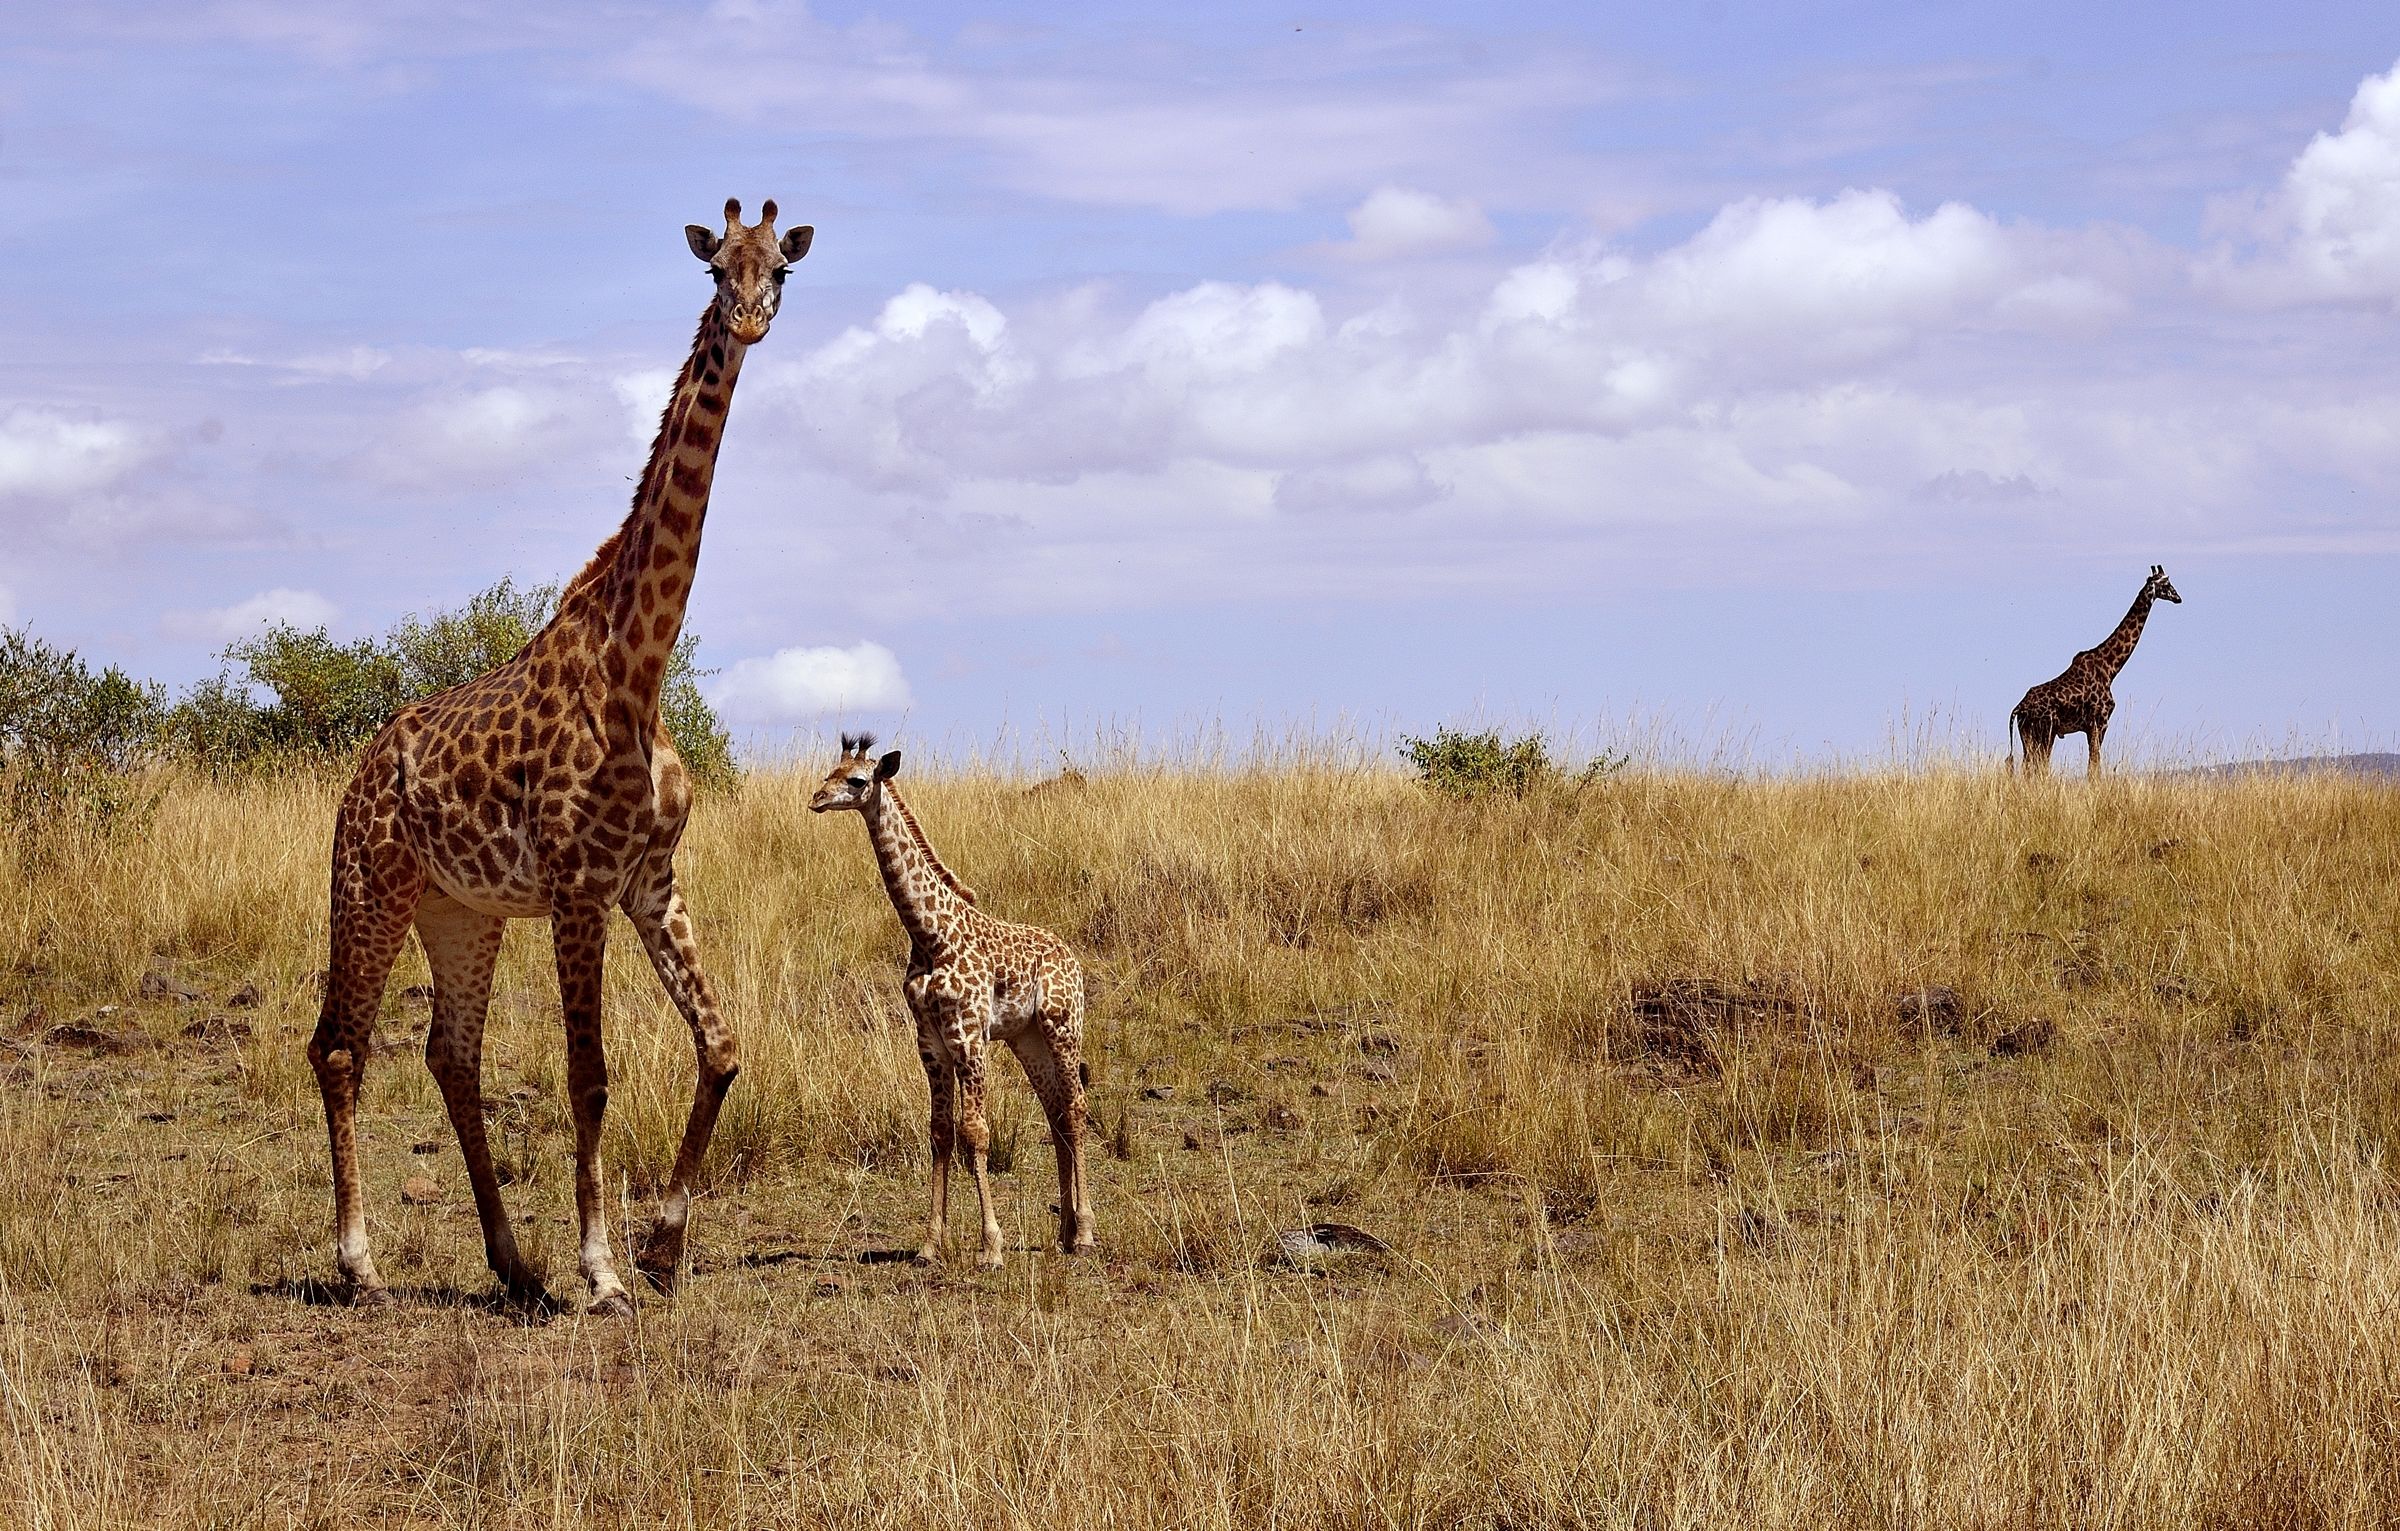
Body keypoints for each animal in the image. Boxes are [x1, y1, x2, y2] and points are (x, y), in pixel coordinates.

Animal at [305, 199, 812, 1314]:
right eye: (716, 268)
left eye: (781, 271)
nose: (749, 318)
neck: (639, 664)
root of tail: (361, 771)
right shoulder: (582, 887)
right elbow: (590, 1076)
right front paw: (604, 1269)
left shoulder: (651, 878)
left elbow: (722, 1046)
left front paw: (661, 1245)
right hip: (369, 884)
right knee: (340, 1045)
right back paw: (360, 1262)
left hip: (462, 910)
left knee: (450, 1054)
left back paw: (512, 1262)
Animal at [807, 735, 1095, 1269]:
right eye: (829, 772)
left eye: (856, 780)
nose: (815, 799)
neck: (929, 936)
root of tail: (1071, 955)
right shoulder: (931, 1042)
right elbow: (940, 1131)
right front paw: (930, 1243)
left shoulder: (968, 1035)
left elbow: (975, 1131)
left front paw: (991, 1246)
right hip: (1026, 1037)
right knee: (1055, 1113)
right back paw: (1064, 1232)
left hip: (1063, 1025)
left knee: (1076, 1107)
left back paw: (1085, 1232)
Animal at [2009, 564, 2183, 779]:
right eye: (2166, 583)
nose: (2178, 597)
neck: (2110, 669)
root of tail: (2019, 708)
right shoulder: (2099, 722)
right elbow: (2094, 766)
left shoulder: (2091, 726)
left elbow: (2093, 765)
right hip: (2044, 731)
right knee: (2037, 766)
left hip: (2029, 734)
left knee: (2029, 767)